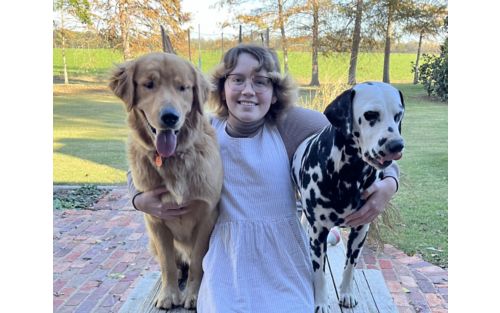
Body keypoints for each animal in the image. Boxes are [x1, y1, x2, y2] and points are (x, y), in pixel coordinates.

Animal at [292, 81, 404, 310]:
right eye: (370, 114)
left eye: (398, 115)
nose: (397, 145)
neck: (349, 175)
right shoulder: (318, 233)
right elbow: (320, 274)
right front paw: (321, 303)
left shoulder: (361, 231)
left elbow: (350, 266)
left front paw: (346, 293)